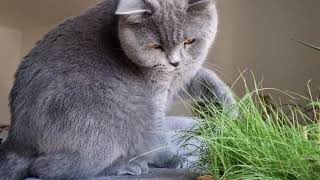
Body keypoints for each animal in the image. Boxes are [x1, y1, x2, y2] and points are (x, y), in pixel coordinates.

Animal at [0, 0, 235, 179]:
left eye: (190, 41)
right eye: (155, 46)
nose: (174, 62)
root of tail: (16, 140)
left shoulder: (180, 79)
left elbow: (205, 75)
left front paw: (229, 106)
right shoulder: (154, 99)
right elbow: (159, 134)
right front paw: (172, 158)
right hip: (111, 121)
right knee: (48, 168)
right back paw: (128, 165)